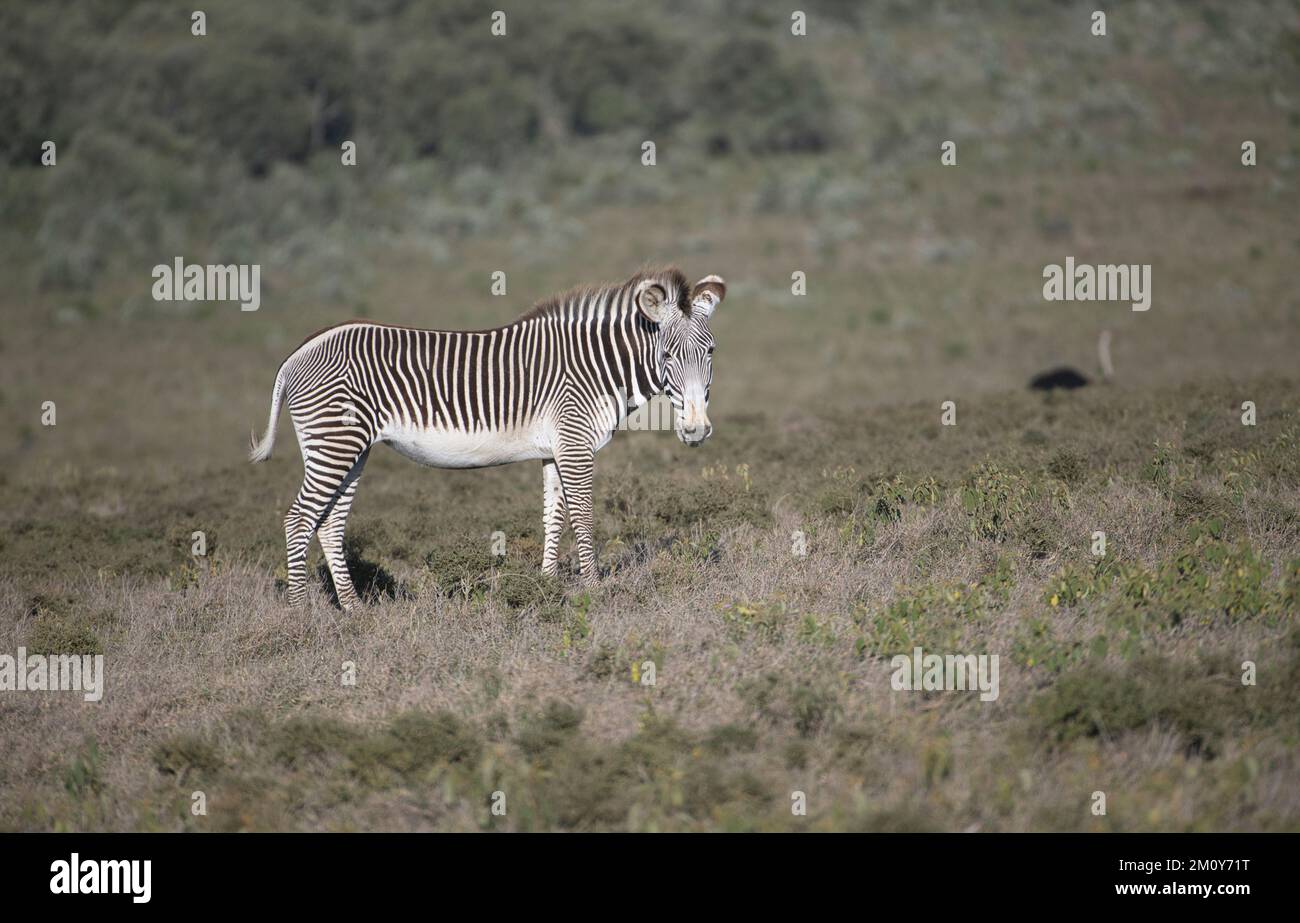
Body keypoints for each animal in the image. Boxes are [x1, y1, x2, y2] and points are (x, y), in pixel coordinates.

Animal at [248, 267, 728, 611]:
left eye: (710, 351)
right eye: (667, 355)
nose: (696, 429)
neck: (595, 367)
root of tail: (297, 354)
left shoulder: (556, 449)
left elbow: (553, 517)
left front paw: (546, 587)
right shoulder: (575, 443)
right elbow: (583, 516)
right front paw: (595, 589)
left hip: (352, 448)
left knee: (329, 523)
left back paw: (353, 610)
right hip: (335, 442)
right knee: (299, 519)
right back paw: (300, 613)